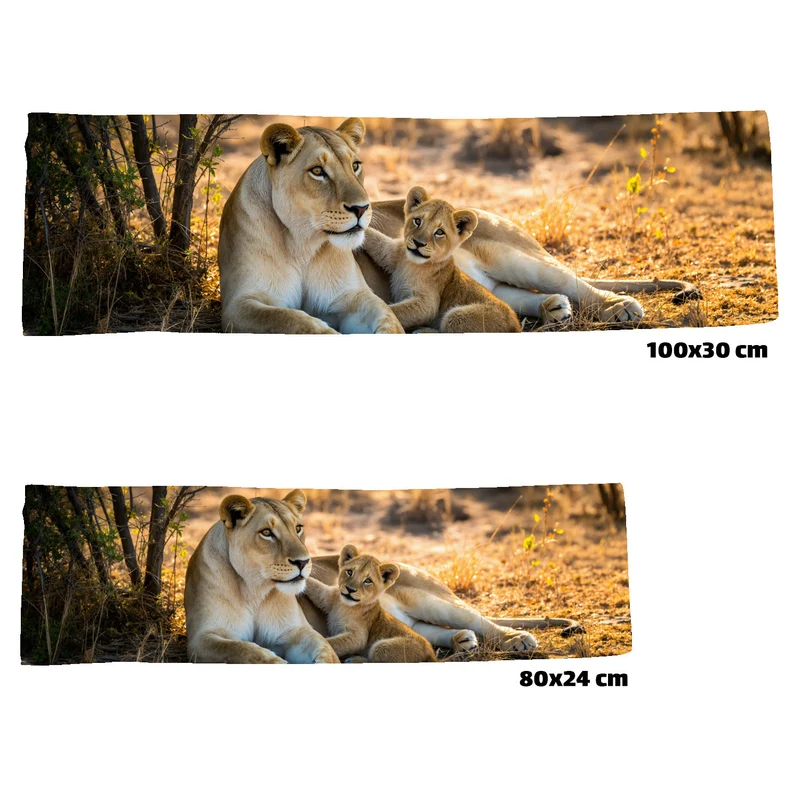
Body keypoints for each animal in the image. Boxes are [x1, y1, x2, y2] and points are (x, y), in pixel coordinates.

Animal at [304, 544, 437, 663]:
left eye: (368, 581)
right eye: (349, 572)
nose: (350, 589)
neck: (344, 605)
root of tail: (431, 653)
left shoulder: (358, 637)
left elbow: (331, 642)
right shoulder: (326, 597)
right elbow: (314, 586)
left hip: (382, 646)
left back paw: (353, 659)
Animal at [362, 185, 522, 333]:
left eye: (439, 232)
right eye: (418, 221)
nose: (418, 243)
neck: (411, 264)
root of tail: (517, 325)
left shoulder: (428, 303)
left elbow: (394, 311)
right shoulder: (391, 252)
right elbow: (375, 240)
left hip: (457, 315)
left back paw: (423, 331)